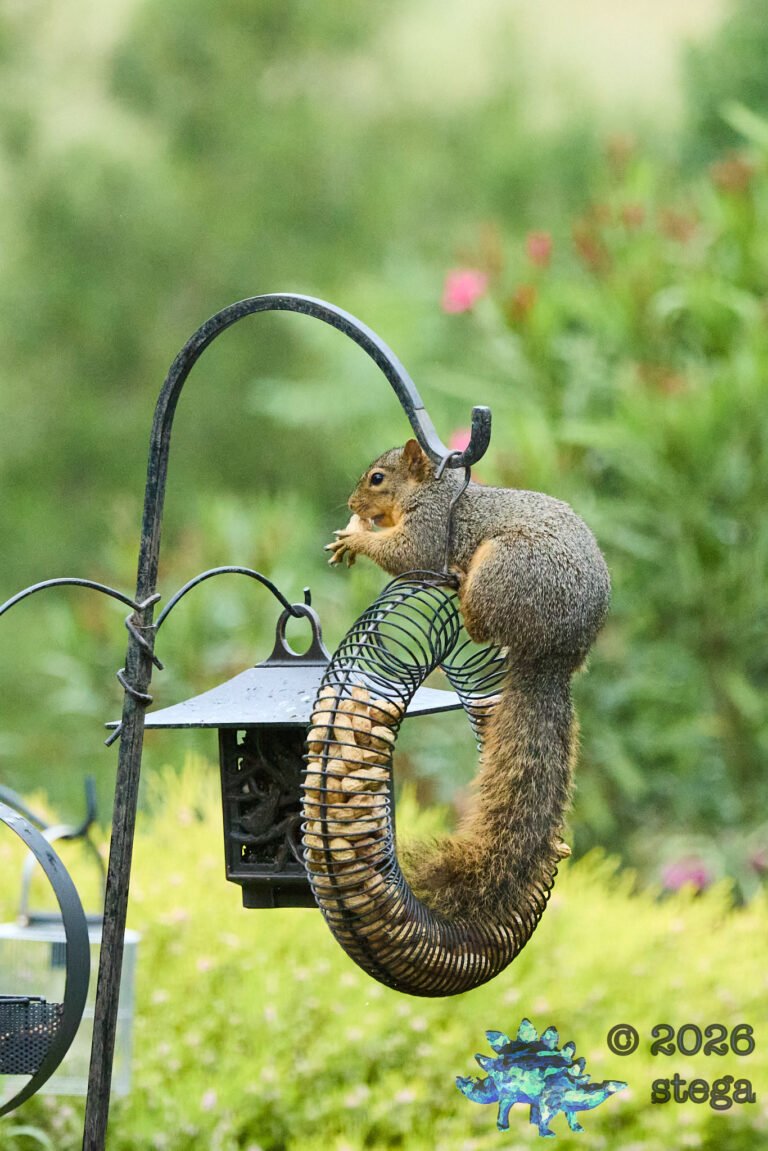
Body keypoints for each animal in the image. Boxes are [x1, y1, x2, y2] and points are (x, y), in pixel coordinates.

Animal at [325, 438, 610, 924]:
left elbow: (408, 554)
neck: (431, 489)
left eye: (377, 478)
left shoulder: (430, 526)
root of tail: (555, 653)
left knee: (479, 626)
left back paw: (459, 588)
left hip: (501, 572)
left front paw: (357, 538)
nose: (351, 505)